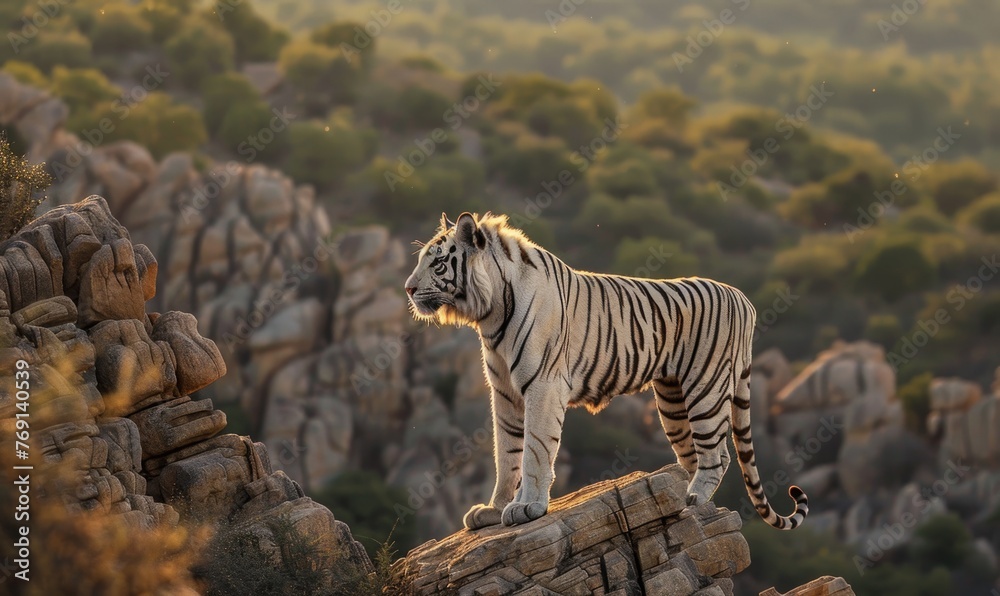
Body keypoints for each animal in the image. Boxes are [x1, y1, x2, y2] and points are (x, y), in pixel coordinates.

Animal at [404, 212, 808, 530]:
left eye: (437, 263)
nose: (407, 288)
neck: (489, 313)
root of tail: (744, 299)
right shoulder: (503, 392)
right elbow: (506, 452)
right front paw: (494, 509)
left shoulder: (543, 386)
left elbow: (534, 449)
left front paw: (527, 507)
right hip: (672, 400)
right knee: (695, 454)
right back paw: (686, 497)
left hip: (705, 388)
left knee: (717, 456)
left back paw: (693, 499)